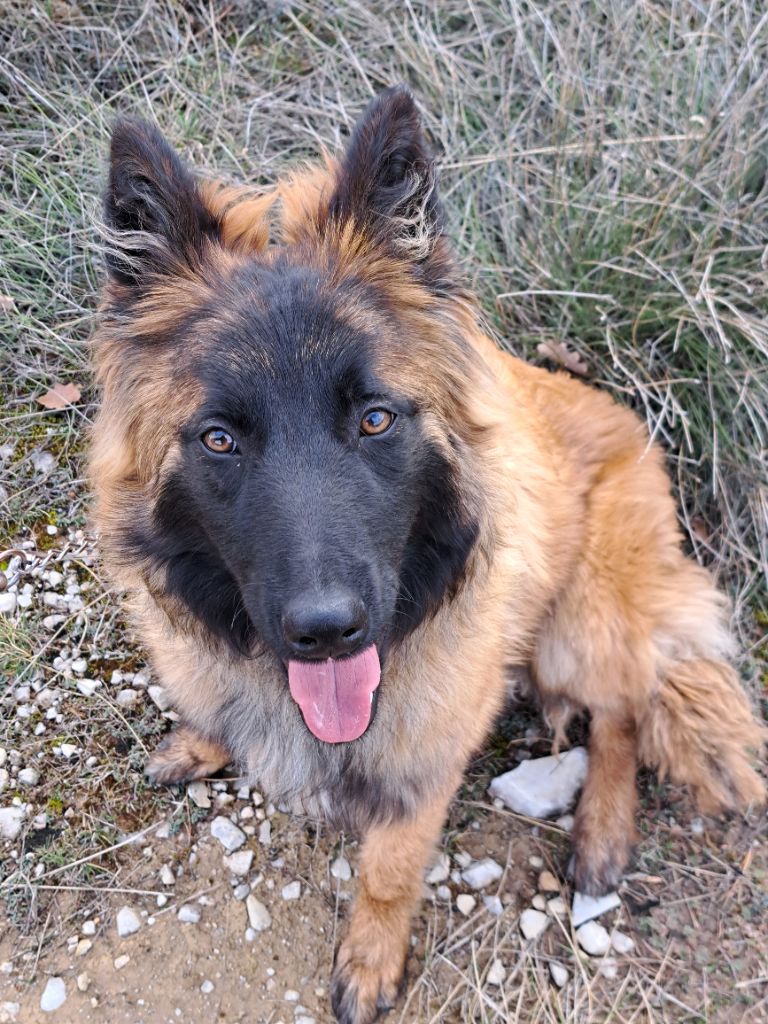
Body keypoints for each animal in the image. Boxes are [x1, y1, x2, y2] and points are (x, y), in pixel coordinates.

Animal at [88, 88, 765, 1024]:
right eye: (219, 439)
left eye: (375, 418)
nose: (327, 632)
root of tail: (633, 427)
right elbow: (224, 712)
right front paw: (205, 740)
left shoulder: (425, 764)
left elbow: (388, 869)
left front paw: (372, 957)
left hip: (579, 626)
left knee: (625, 710)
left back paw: (603, 829)